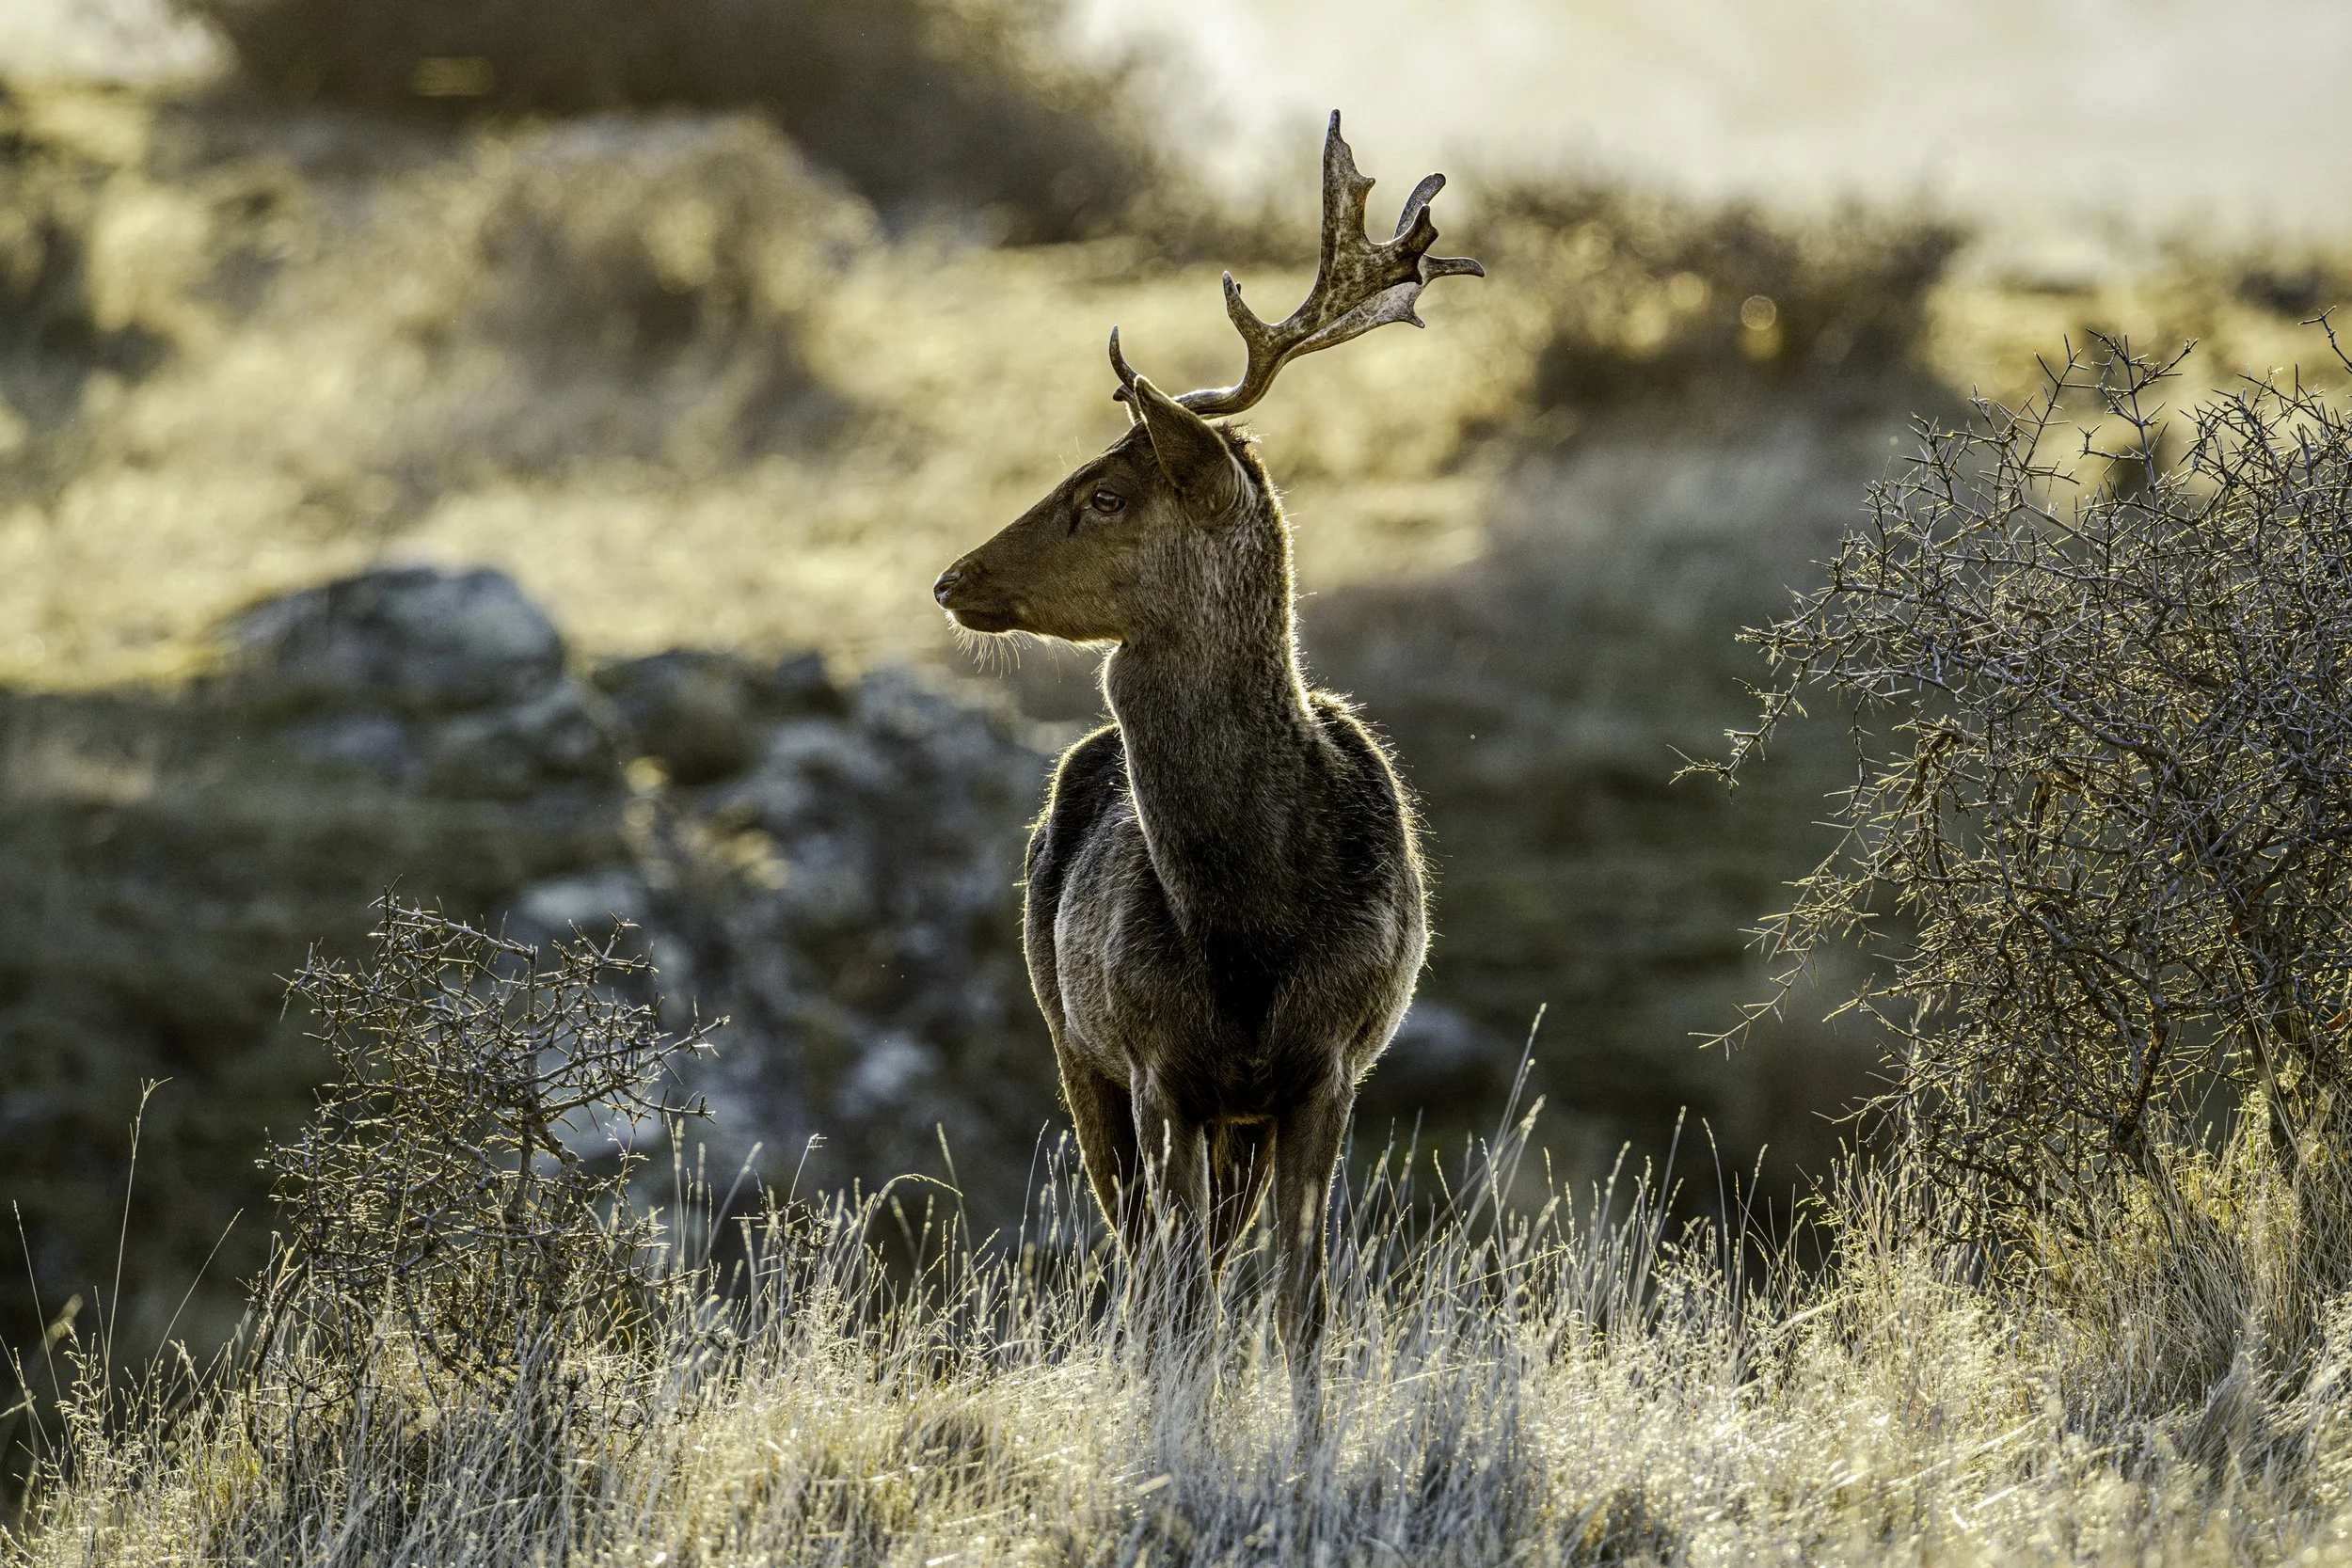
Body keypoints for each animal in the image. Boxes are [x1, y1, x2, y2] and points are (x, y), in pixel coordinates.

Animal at [932, 113, 1482, 1346]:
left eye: (1102, 495)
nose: (952, 578)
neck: (1250, 920)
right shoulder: (1152, 1057)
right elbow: (1176, 1296)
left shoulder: (1328, 1066)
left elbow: (1301, 1300)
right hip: (1070, 1041)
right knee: (1145, 1266)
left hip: (1224, 1117)